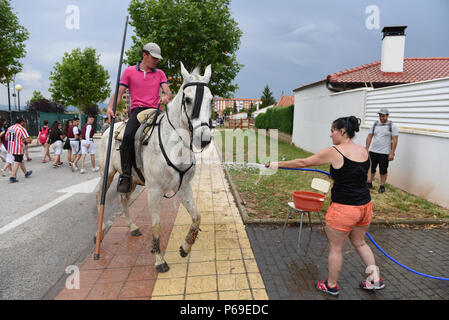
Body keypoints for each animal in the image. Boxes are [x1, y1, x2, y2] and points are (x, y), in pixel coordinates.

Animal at [97, 63, 213, 272]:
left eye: (211, 100)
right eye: (188, 99)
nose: (204, 139)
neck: (174, 144)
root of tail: (109, 128)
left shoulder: (183, 187)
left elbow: (196, 217)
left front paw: (185, 247)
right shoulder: (154, 190)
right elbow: (156, 225)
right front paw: (159, 259)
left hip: (133, 180)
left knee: (124, 198)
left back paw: (133, 227)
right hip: (106, 173)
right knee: (98, 199)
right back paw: (99, 234)